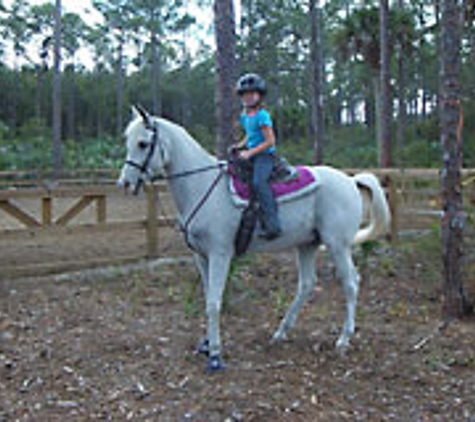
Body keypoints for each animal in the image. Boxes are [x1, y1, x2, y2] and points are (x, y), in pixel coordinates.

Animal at [118, 105, 390, 372]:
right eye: (127, 141)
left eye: (143, 143)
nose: (125, 184)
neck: (202, 185)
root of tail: (350, 180)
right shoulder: (200, 256)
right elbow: (208, 297)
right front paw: (206, 344)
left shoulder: (220, 254)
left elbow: (214, 302)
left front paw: (215, 354)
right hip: (307, 244)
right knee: (307, 284)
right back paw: (281, 332)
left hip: (338, 245)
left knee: (351, 283)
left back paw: (343, 339)